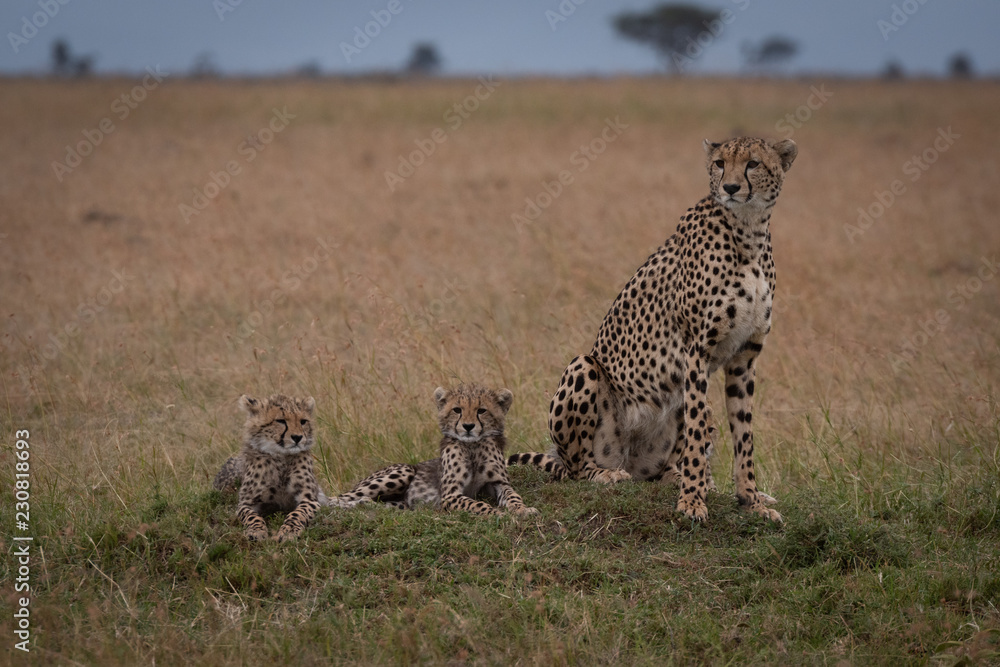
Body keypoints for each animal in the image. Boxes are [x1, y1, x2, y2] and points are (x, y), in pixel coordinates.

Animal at [213, 393, 322, 542]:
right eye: (280, 421)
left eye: (303, 421)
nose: (297, 437)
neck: (281, 456)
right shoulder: (246, 503)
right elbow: (251, 516)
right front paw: (256, 531)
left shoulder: (310, 499)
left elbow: (298, 513)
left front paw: (289, 530)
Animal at [328, 384, 538, 518]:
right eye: (457, 410)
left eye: (481, 410)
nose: (468, 426)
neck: (473, 446)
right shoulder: (450, 495)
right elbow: (476, 504)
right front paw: (497, 513)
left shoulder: (498, 483)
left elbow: (513, 496)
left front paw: (522, 510)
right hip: (404, 470)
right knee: (336, 498)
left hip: (400, 503)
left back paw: (366, 505)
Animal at [509, 137, 797, 523]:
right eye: (720, 163)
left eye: (753, 164)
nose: (731, 188)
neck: (748, 230)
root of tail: (627, 462)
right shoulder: (697, 350)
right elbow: (696, 433)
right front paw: (692, 502)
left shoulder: (744, 359)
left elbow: (743, 434)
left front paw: (750, 500)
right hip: (584, 369)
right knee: (576, 468)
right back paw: (607, 474)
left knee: (668, 460)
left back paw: (680, 478)